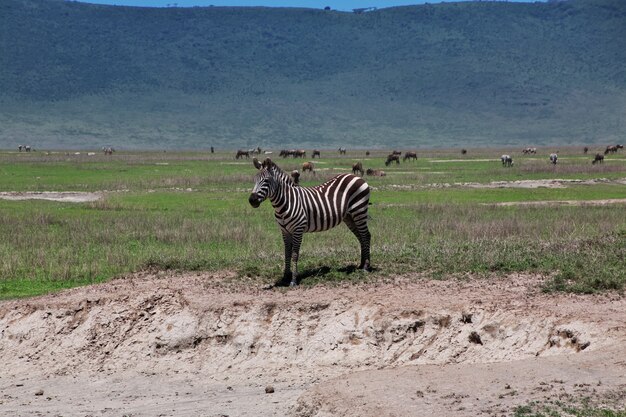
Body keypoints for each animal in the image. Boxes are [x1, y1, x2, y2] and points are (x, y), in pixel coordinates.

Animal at [247, 157, 368, 286]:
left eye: (266, 180)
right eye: (254, 180)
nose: (252, 200)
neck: (286, 202)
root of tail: (355, 177)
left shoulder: (298, 229)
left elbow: (295, 254)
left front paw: (293, 280)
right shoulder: (285, 231)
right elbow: (287, 253)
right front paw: (285, 277)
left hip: (359, 211)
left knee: (366, 235)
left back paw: (366, 267)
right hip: (349, 217)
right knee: (361, 237)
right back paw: (361, 265)